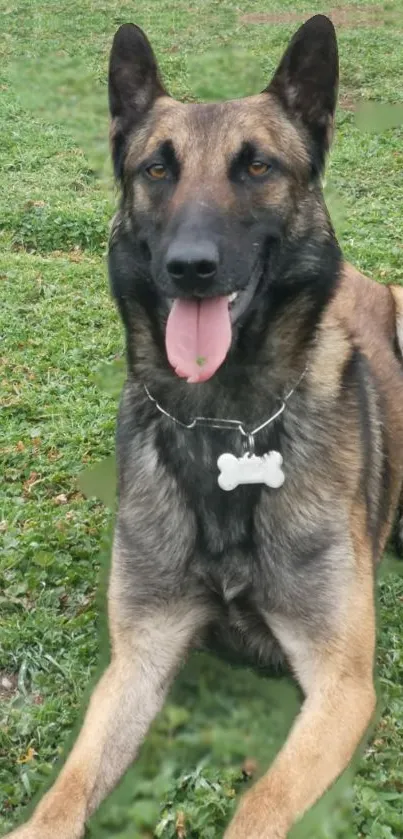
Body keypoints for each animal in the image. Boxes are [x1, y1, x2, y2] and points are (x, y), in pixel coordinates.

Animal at [5, 13, 403, 839]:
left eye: (255, 167)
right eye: (157, 169)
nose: (191, 266)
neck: (224, 418)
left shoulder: (340, 683)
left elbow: (259, 805)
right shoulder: (139, 657)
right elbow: (65, 794)